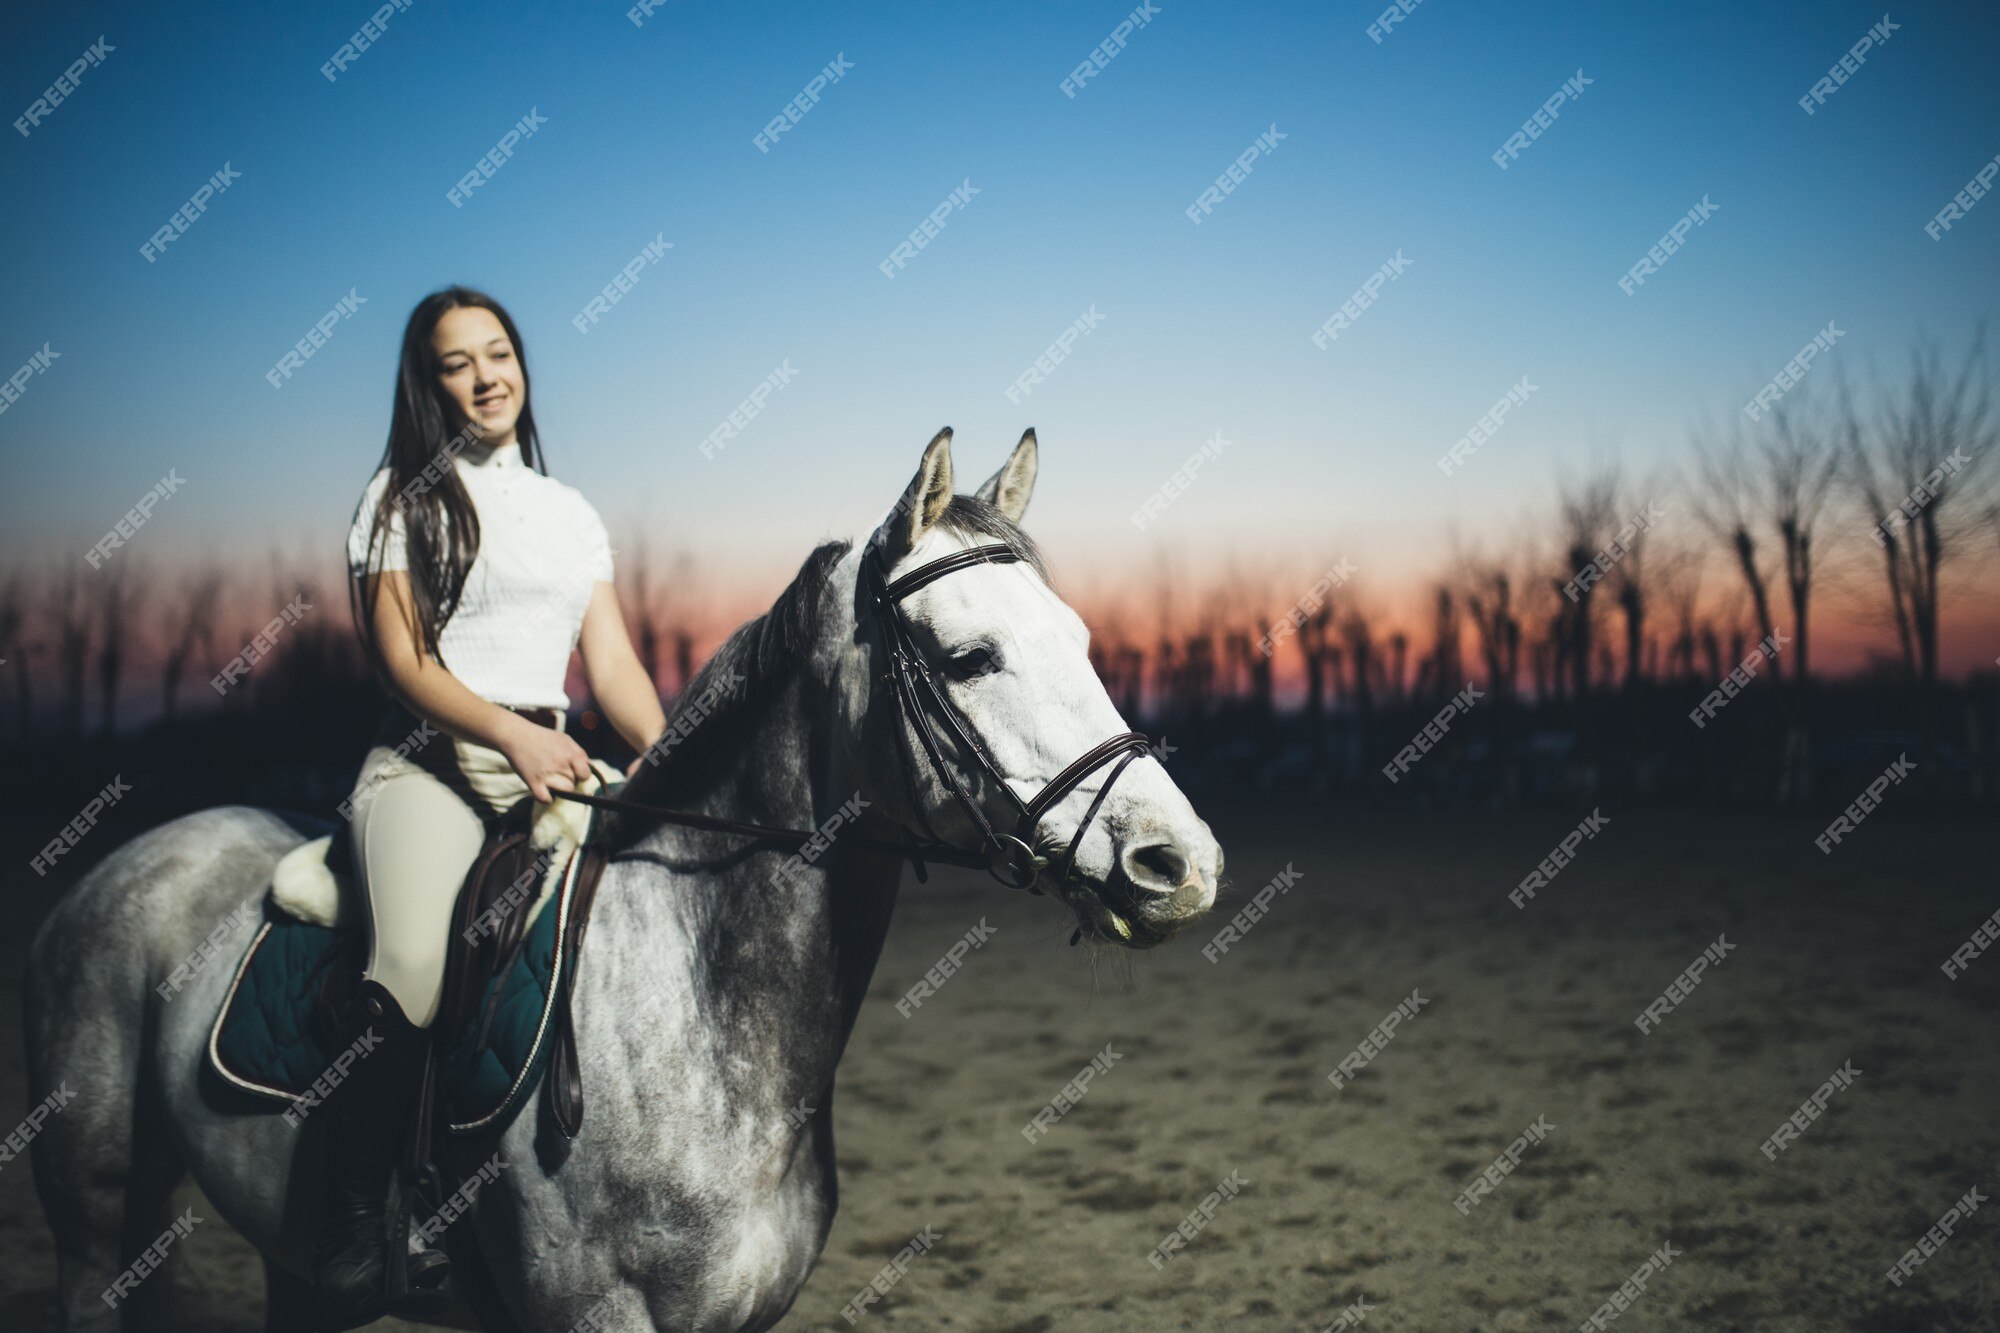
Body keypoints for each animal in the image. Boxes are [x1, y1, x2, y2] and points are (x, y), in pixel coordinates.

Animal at [27, 428, 1216, 1328]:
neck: (698, 1012)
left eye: (1082, 638)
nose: (1181, 863)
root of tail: (123, 863)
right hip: (95, 1212)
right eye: (971, 659)